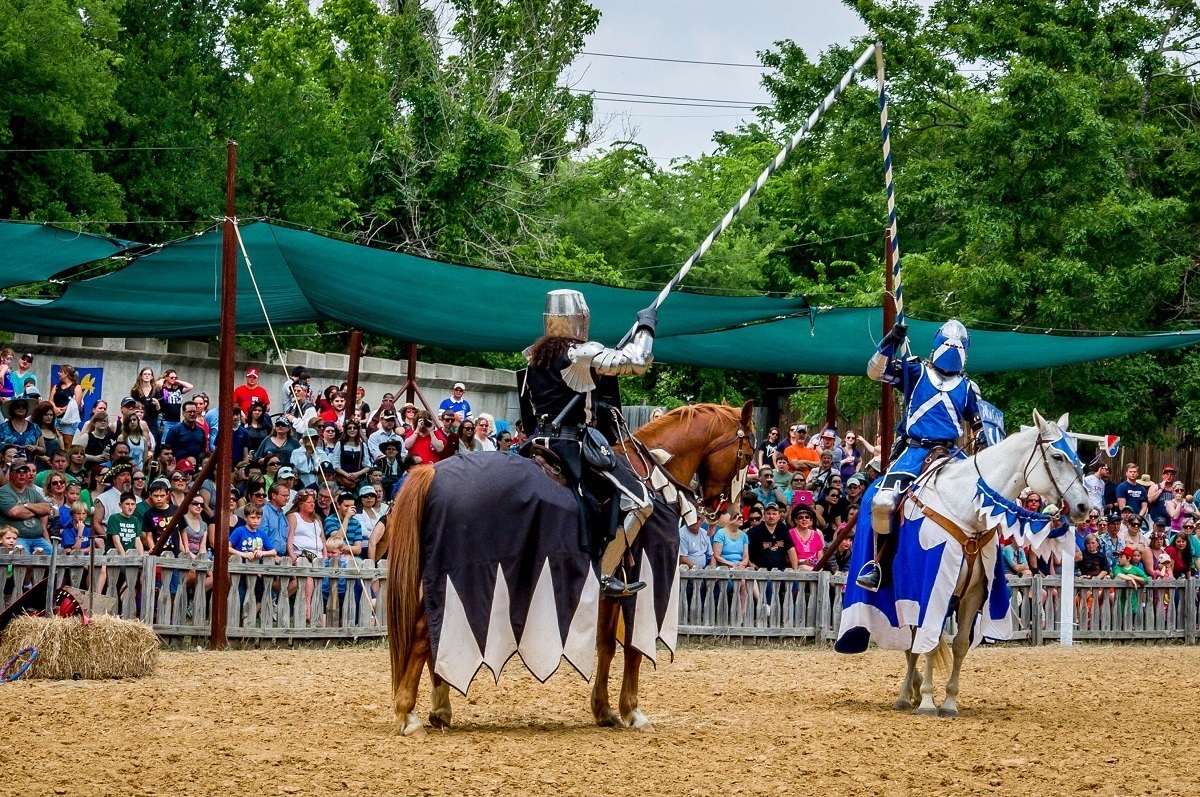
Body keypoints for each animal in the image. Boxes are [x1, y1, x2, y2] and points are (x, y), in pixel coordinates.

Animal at [386, 400, 748, 739]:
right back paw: (408, 714)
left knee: (433, 638)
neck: (655, 477)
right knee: (424, 635)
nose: (728, 511)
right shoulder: (644, 578)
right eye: (745, 454)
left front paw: (604, 710)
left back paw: (439, 709)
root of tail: (433, 474)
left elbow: (606, 645)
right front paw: (633, 711)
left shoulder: (611, 587)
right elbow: (632, 648)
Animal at [840, 410, 1094, 715]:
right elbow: (930, 642)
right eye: (1057, 456)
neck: (964, 507)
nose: (1084, 507)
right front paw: (928, 701)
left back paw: (912, 691)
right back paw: (906, 695)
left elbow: (959, 644)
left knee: (913, 643)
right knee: (911, 644)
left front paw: (949, 702)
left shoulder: (973, 594)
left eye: (1076, 457)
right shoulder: (932, 590)